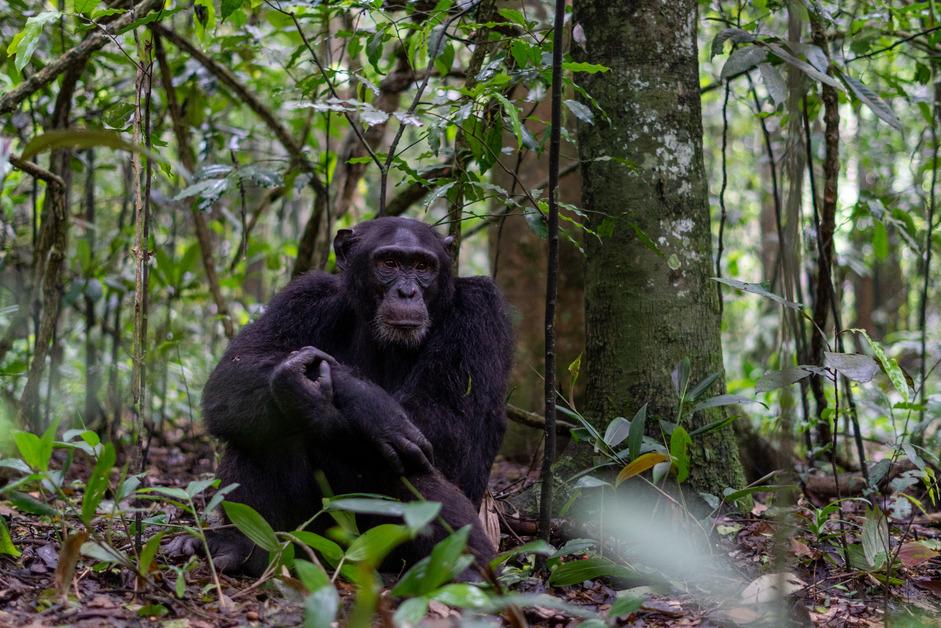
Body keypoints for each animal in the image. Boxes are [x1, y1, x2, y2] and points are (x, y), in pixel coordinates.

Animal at [187, 216, 510, 576]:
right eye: (389, 263)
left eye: (423, 266)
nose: (407, 291)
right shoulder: (304, 295)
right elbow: (234, 371)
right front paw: (356, 398)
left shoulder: (480, 311)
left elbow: (448, 425)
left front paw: (364, 406)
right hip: (318, 534)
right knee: (264, 423)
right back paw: (241, 548)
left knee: (410, 460)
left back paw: (464, 568)